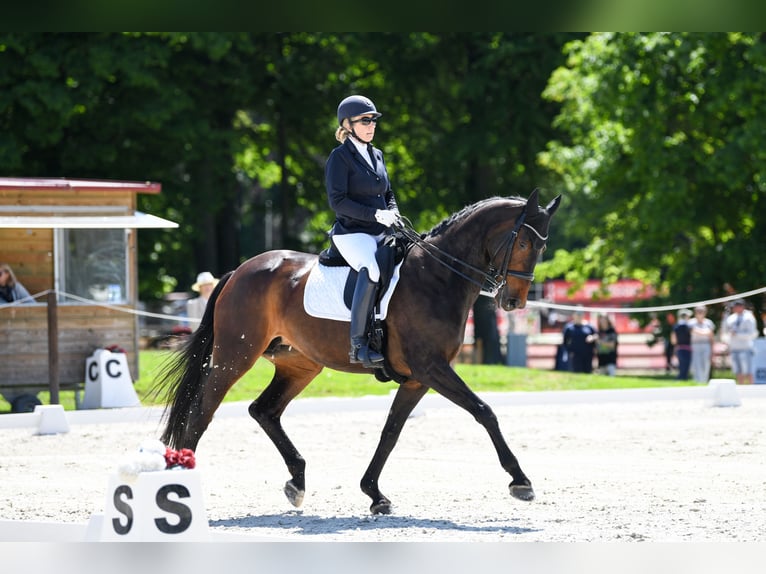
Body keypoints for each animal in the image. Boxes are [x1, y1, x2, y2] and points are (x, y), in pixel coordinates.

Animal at [158, 190, 564, 516]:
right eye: (523, 244)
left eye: (542, 248)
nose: (513, 302)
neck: (437, 276)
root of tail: (241, 270)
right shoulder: (431, 368)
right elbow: (484, 411)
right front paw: (520, 481)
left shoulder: (417, 379)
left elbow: (391, 432)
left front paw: (374, 494)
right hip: (235, 356)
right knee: (202, 410)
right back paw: (182, 483)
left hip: (299, 364)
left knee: (264, 411)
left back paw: (297, 482)